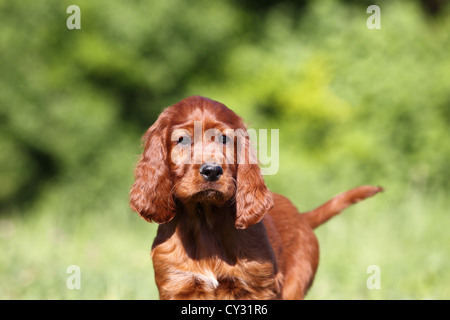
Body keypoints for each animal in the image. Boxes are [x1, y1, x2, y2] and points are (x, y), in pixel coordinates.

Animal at [128, 95, 382, 300]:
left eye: (224, 139)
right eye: (183, 139)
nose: (212, 171)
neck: (205, 220)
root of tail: (302, 216)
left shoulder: (259, 287)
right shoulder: (176, 285)